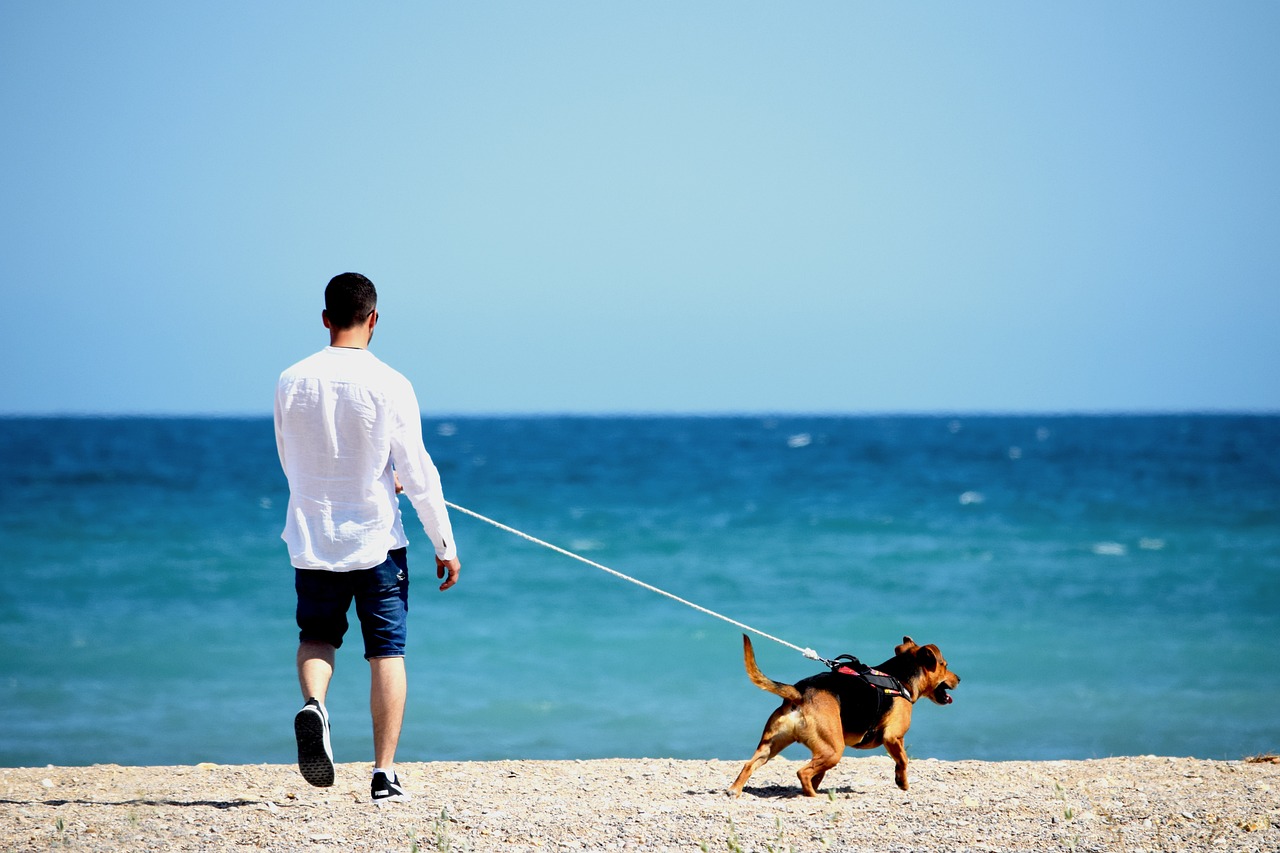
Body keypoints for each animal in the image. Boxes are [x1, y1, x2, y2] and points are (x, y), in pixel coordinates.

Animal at [732, 627, 962, 794]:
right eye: (945, 665)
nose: (959, 678)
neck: (900, 678)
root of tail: (800, 692)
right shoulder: (892, 736)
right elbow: (903, 760)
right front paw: (902, 783)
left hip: (772, 745)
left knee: (749, 765)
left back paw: (733, 790)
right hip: (834, 750)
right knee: (802, 773)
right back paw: (813, 797)